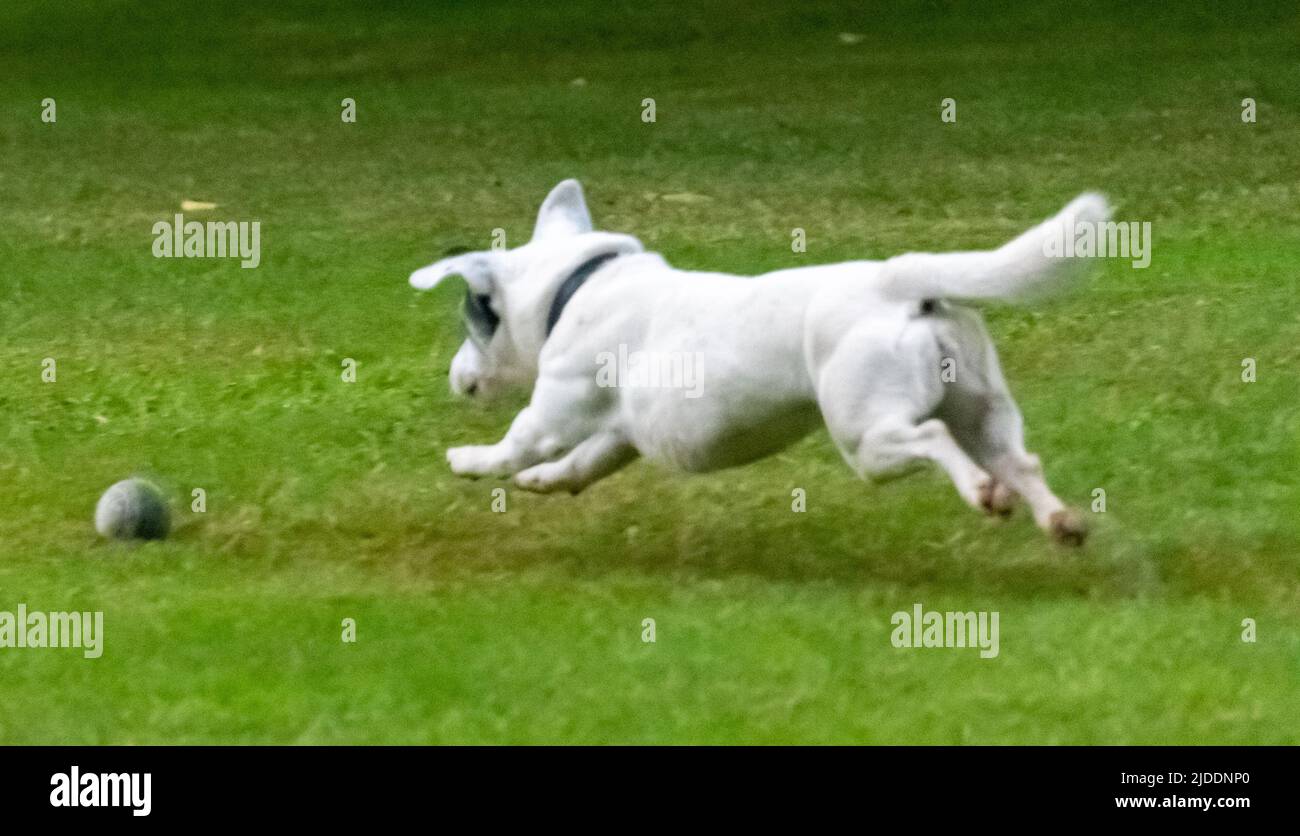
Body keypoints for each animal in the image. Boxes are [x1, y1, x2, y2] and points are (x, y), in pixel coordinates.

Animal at [413, 180, 1107, 546]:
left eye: (471, 323)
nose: (453, 377)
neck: (576, 284)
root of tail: (899, 284)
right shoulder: (621, 436)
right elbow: (580, 465)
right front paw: (543, 482)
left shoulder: (553, 412)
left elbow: (516, 445)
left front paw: (470, 460)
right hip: (983, 410)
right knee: (1018, 460)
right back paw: (1059, 521)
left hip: (867, 436)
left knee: (935, 439)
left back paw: (984, 492)